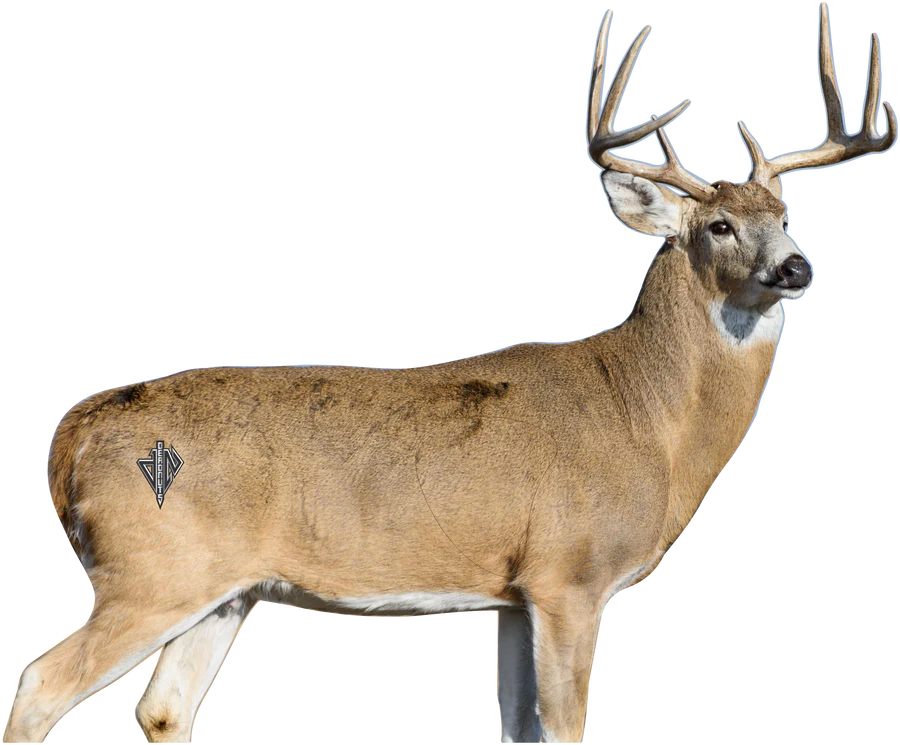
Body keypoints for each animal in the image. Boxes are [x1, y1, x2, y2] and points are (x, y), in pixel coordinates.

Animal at [5, 3, 895, 744]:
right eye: (718, 226)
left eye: (784, 217)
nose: (796, 267)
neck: (647, 417)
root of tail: (79, 428)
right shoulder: (570, 574)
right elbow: (566, 728)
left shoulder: (511, 593)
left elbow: (519, 727)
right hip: (149, 565)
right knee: (38, 684)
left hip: (224, 587)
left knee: (161, 708)